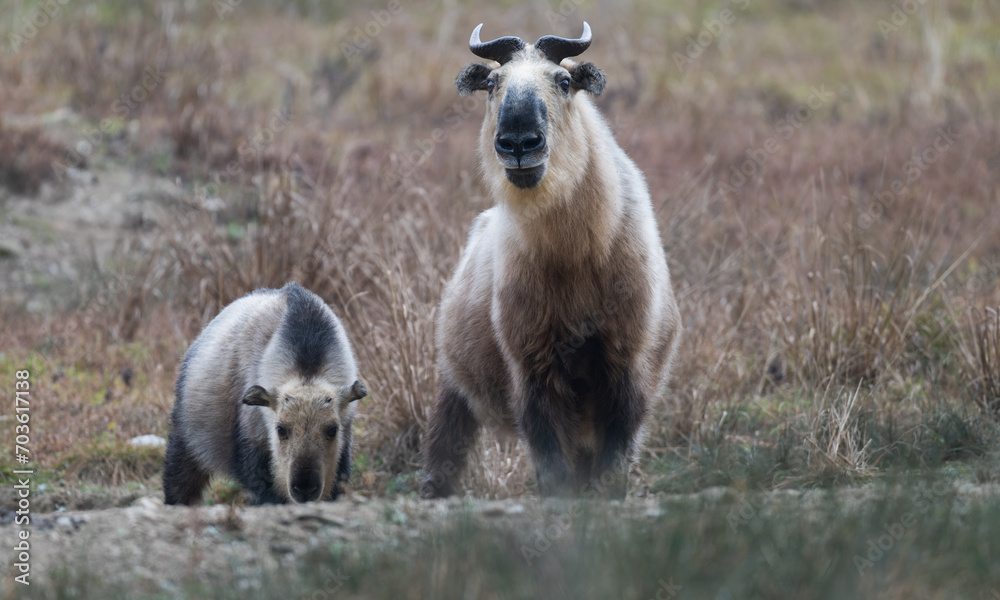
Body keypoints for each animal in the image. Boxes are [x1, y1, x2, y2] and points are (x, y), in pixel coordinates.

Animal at [418, 21, 684, 500]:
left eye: (563, 81)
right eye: (492, 84)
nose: (519, 143)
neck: (574, 254)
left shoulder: (626, 363)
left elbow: (615, 453)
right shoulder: (533, 367)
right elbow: (548, 455)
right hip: (453, 385)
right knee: (445, 440)